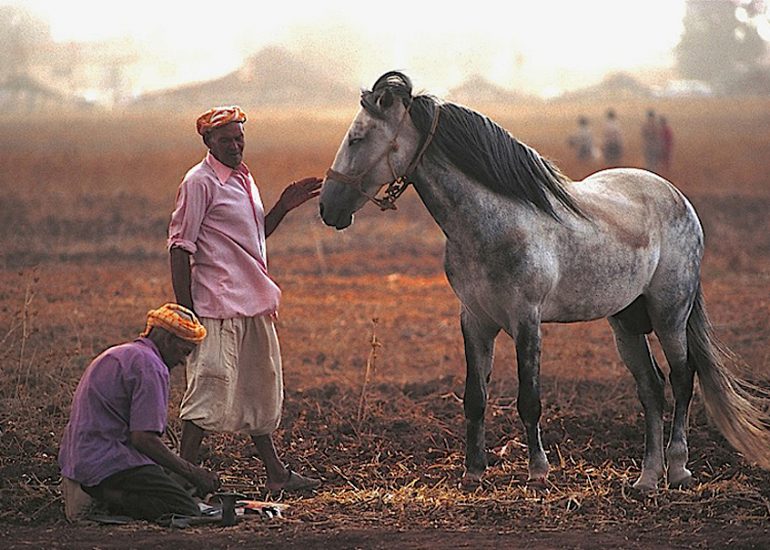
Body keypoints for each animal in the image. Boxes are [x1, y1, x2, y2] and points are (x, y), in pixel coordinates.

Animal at [319, 71, 770, 491]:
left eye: (357, 139)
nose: (327, 207)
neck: (492, 225)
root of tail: (678, 198)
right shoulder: (475, 320)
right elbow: (475, 398)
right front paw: (473, 471)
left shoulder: (527, 320)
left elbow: (529, 399)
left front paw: (538, 471)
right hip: (625, 322)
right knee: (651, 388)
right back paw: (646, 477)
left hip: (669, 314)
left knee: (682, 378)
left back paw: (677, 470)